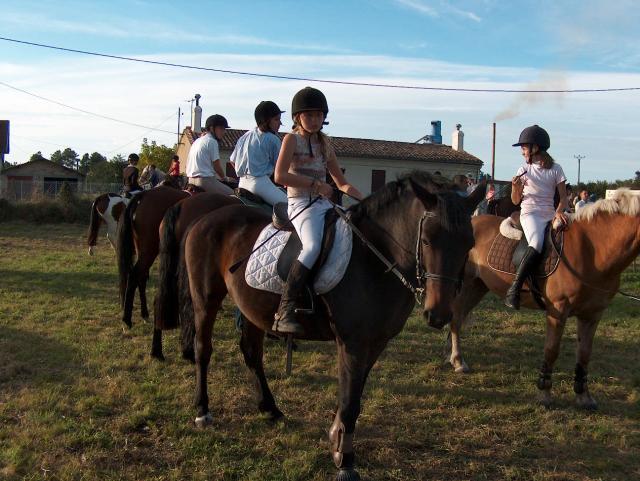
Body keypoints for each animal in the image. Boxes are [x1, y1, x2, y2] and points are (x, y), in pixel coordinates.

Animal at [116, 184, 189, 326]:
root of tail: (143, 195)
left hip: (143, 250)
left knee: (141, 277)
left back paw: (144, 313)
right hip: (149, 250)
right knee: (135, 276)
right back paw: (127, 319)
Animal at [181, 172, 484, 480]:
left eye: (469, 244)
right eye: (427, 240)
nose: (438, 314)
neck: (374, 258)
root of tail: (206, 217)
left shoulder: (376, 343)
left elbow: (354, 397)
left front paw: (337, 441)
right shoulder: (352, 343)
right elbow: (350, 401)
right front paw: (346, 461)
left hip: (252, 308)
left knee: (252, 353)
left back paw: (270, 409)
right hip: (206, 299)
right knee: (203, 349)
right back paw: (202, 410)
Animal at [448, 188, 640, 408]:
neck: (593, 250)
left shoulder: (592, 314)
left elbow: (584, 354)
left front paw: (584, 396)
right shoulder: (558, 310)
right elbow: (551, 350)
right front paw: (544, 393)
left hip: (478, 287)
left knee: (459, 317)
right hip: (466, 285)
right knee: (456, 319)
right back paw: (458, 361)